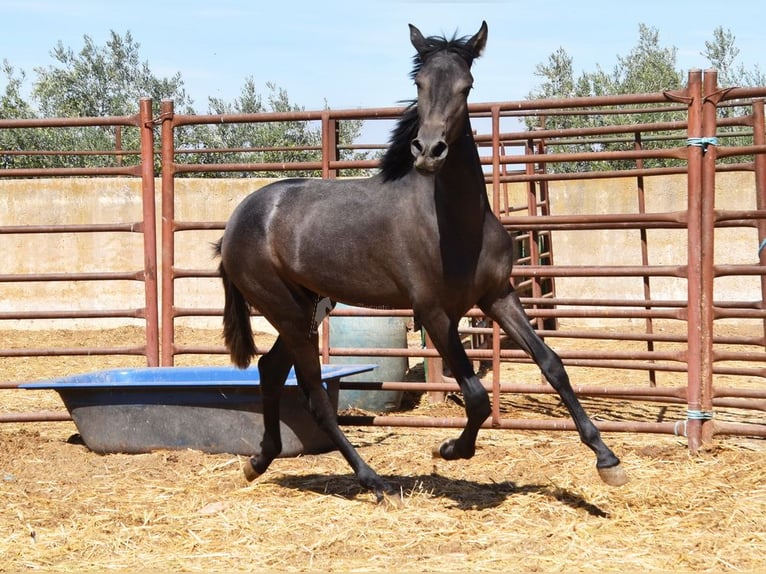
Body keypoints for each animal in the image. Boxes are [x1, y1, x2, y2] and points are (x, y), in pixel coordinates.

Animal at [216, 21, 632, 504]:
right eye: (419, 83)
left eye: (466, 85)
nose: (429, 150)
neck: (455, 224)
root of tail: (237, 220)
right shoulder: (434, 313)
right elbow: (477, 396)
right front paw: (450, 449)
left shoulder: (498, 296)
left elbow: (552, 365)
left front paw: (607, 460)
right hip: (286, 312)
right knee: (313, 396)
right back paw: (374, 481)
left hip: (305, 311)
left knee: (270, 370)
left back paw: (258, 461)